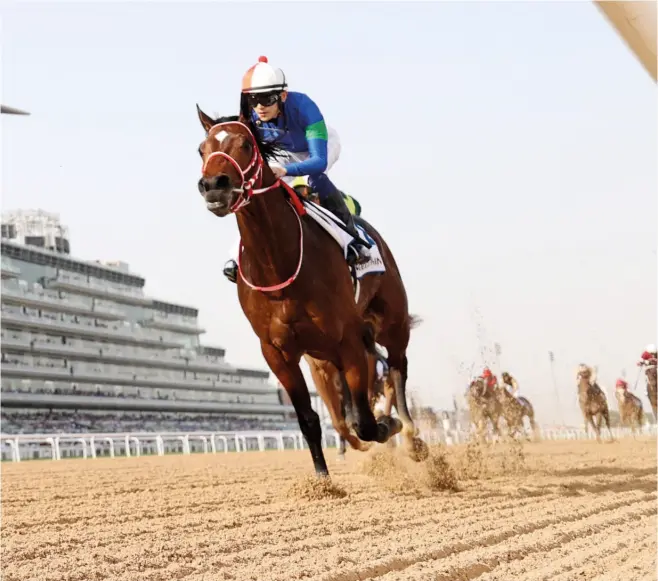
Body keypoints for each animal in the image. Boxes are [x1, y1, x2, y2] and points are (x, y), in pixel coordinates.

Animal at [192, 109, 426, 476]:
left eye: (246, 144)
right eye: (202, 149)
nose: (214, 185)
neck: (278, 262)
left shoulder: (347, 341)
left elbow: (366, 422)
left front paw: (388, 425)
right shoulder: (279, 353)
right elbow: (311, 420)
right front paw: (322, 480)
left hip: (393, 322)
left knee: (397, 366)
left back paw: (411, 434)